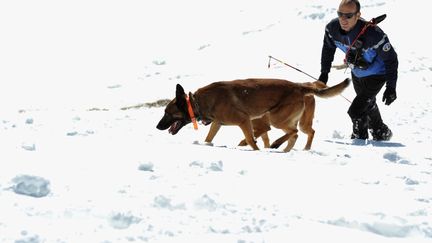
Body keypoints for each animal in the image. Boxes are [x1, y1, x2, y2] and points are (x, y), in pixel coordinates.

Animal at [157, 78, 350, 151]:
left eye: (167, 113)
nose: (157, 126)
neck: (197, 102)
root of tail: (300, 86)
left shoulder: (244, 121)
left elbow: (250, 140)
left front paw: (255, 150)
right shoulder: (218, 123)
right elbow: (209, 137)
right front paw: (205, 145)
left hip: (276, 118)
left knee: (295, 132)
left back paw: (278, 144)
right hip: (286, 120)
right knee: (296, 134)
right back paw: (284, 149)